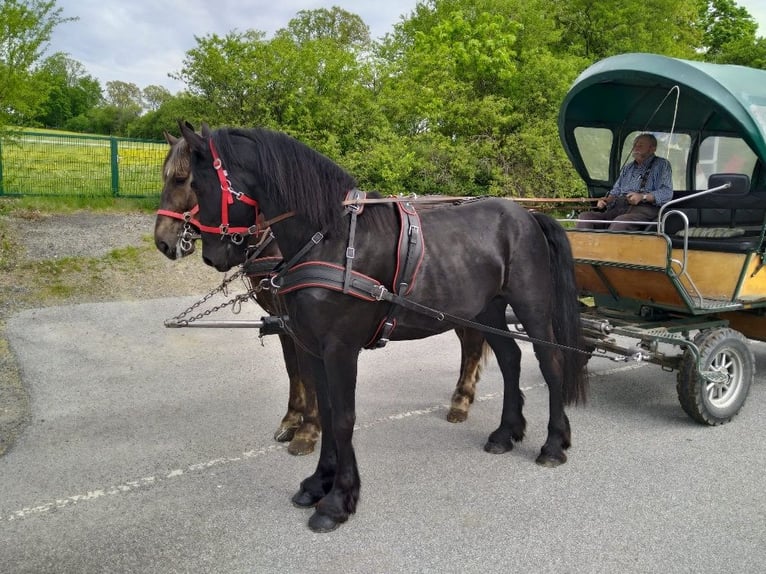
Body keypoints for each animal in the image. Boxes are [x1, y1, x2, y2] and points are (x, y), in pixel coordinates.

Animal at [154, 129, 493, 456]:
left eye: (184, 179)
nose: (163, 242)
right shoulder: (287, 322)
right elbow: (294, 371)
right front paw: (292, 420)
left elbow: (306, 375)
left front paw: (307, 429)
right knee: (470, 342)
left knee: (473, 344)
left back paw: (461, 400)